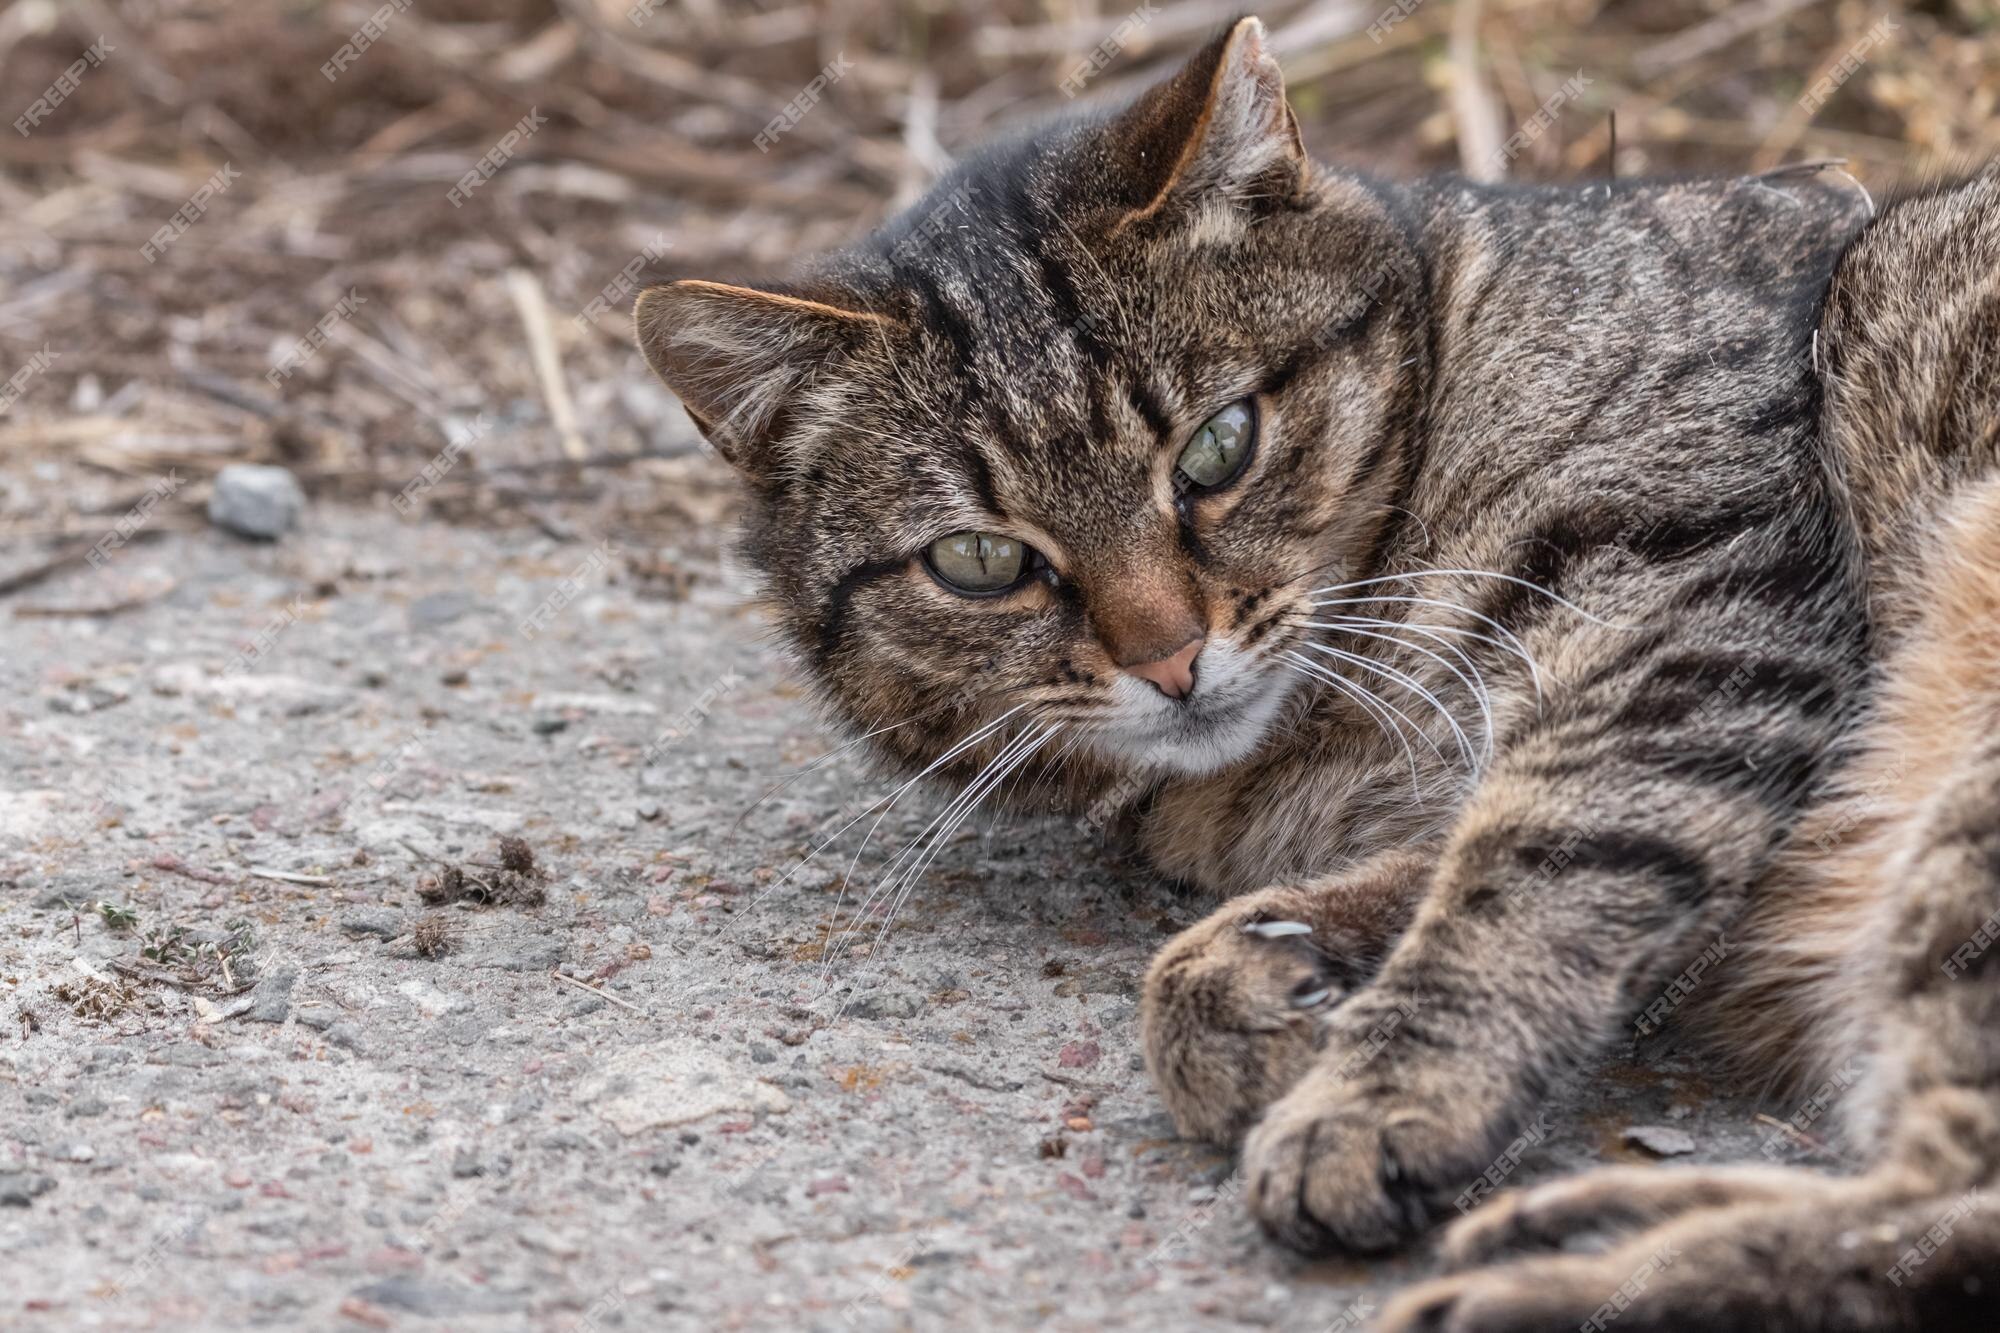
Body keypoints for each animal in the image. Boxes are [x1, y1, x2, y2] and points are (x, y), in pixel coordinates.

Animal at [636, 20, 2000, 1328]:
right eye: (980, 561)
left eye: (1216, 447)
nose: (1167, 655)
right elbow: (1381, 891)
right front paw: (1276, 979)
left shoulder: (1690, 591)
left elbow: (1535, 863)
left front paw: (1383, 1089)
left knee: (1944, 1216)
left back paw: (1554, 1275)